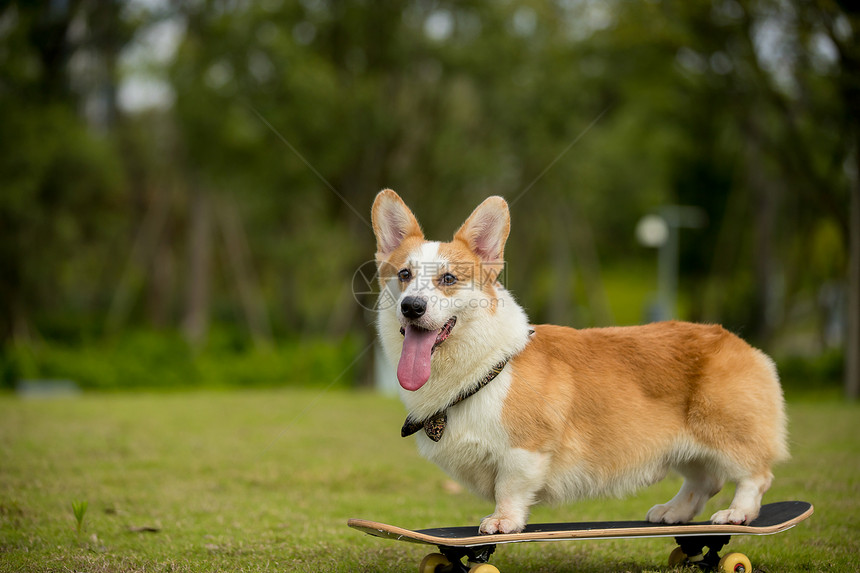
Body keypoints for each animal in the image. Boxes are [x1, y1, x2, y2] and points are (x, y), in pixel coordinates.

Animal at [370, 190, 788, 536]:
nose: (412, 307)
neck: (480, 369)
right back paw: (674, 512)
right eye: (404, 275)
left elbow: (509, 488)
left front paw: (503, 522)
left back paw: (736, 513)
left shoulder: (525, 449)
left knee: (755, 474)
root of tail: (741, 344)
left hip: (726, 432)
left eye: (448, 279)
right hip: (685, 445)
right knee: (704, 481)